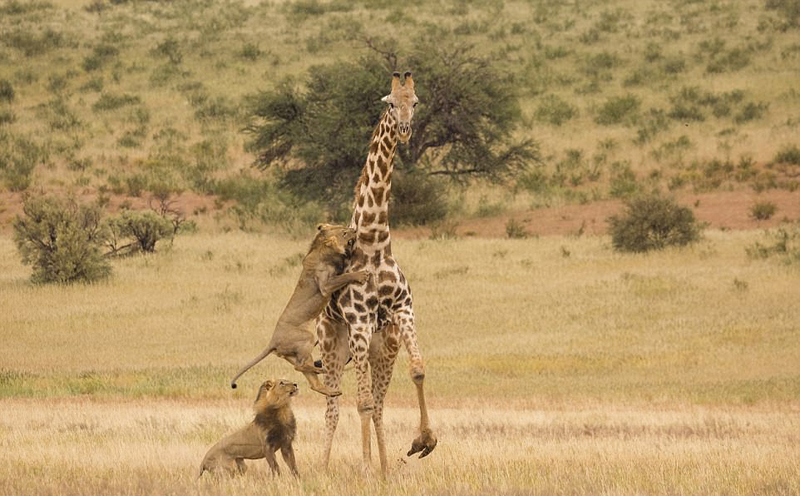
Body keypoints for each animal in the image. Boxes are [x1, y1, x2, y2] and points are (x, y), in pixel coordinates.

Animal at [230, 223, 370, 398]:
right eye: (344, 232)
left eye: (342, 226)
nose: (354, 229)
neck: (322, 250)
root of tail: (273, 342)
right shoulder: (326, 285)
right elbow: (345, 276)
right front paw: (361, 275)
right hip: (307, 338)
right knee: (300, 367)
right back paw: (323, 370)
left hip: (294, 354)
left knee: (310, 380)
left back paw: (331, 390)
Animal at [314, 70, 438, 472]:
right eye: (389, 102)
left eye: (415, 101)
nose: (404, 129)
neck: (376, 244)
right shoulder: (358, 321)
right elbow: (362, 403)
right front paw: (365, 468)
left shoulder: (402, 311)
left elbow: (418, 370)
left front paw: (423, 441)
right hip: (335, 343)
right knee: (336, 406)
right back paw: (325, 468)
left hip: (382, 347)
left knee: (379, 404)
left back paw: (385, 468)